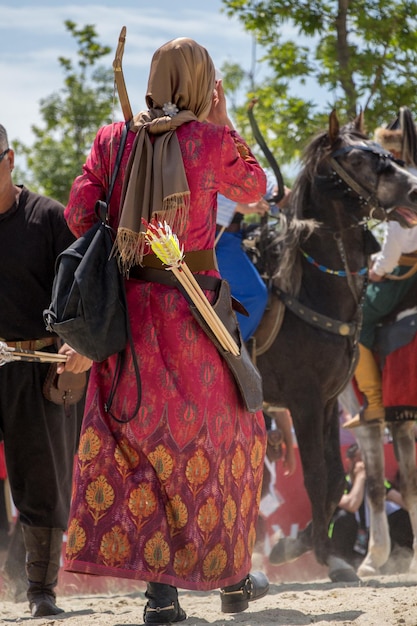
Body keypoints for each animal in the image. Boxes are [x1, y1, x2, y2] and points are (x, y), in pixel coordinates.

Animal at [252, 108, 417, 580]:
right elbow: (316, 478)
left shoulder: (327, 403)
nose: (415, 189)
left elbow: (335, 479)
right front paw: (328, 558)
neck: (309, 290)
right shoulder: (305, 402)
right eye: (358, 159)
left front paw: (296, 547)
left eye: (384, 152)